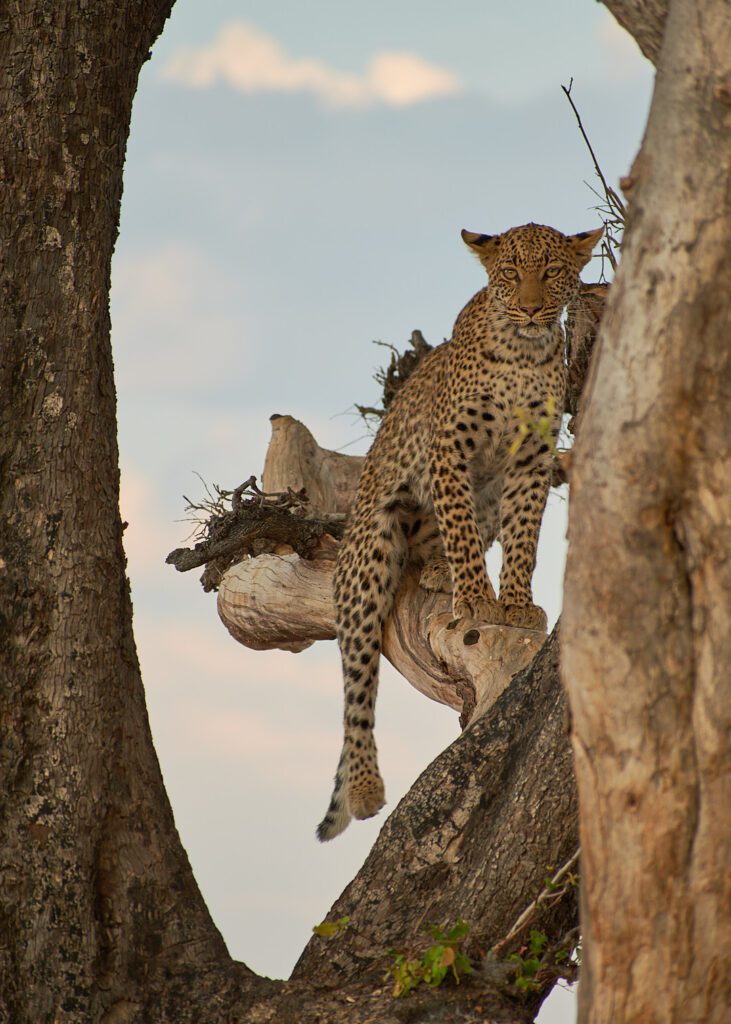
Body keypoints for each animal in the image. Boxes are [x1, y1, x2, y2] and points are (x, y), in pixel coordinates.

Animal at [317, 222, 603, 841]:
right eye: (511, 273)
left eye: (552, 272)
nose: (532, 307)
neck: (525, 353)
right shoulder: (449, 453)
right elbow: (464, 532)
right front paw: (476, 598)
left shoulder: (531, 461)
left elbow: (523, 539)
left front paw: (515, 603)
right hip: (369, 552)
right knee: (357, 683)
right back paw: (366, 788)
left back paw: (437, 570)